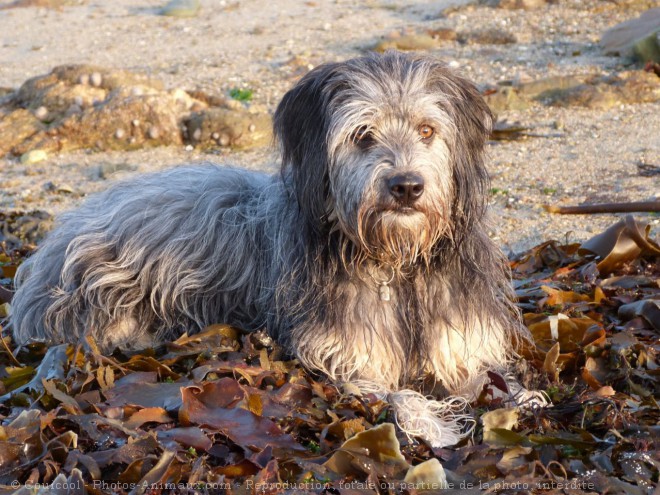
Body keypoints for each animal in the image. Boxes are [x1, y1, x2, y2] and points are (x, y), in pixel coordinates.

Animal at [9, 52, 536, 448]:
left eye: (428, 131)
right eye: (363, 135)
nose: (406, 186)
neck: (398, 262)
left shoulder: (462, 338)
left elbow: (490, 375)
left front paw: (521, 399)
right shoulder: (345, 357)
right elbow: (396, 395)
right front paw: (432, 423)